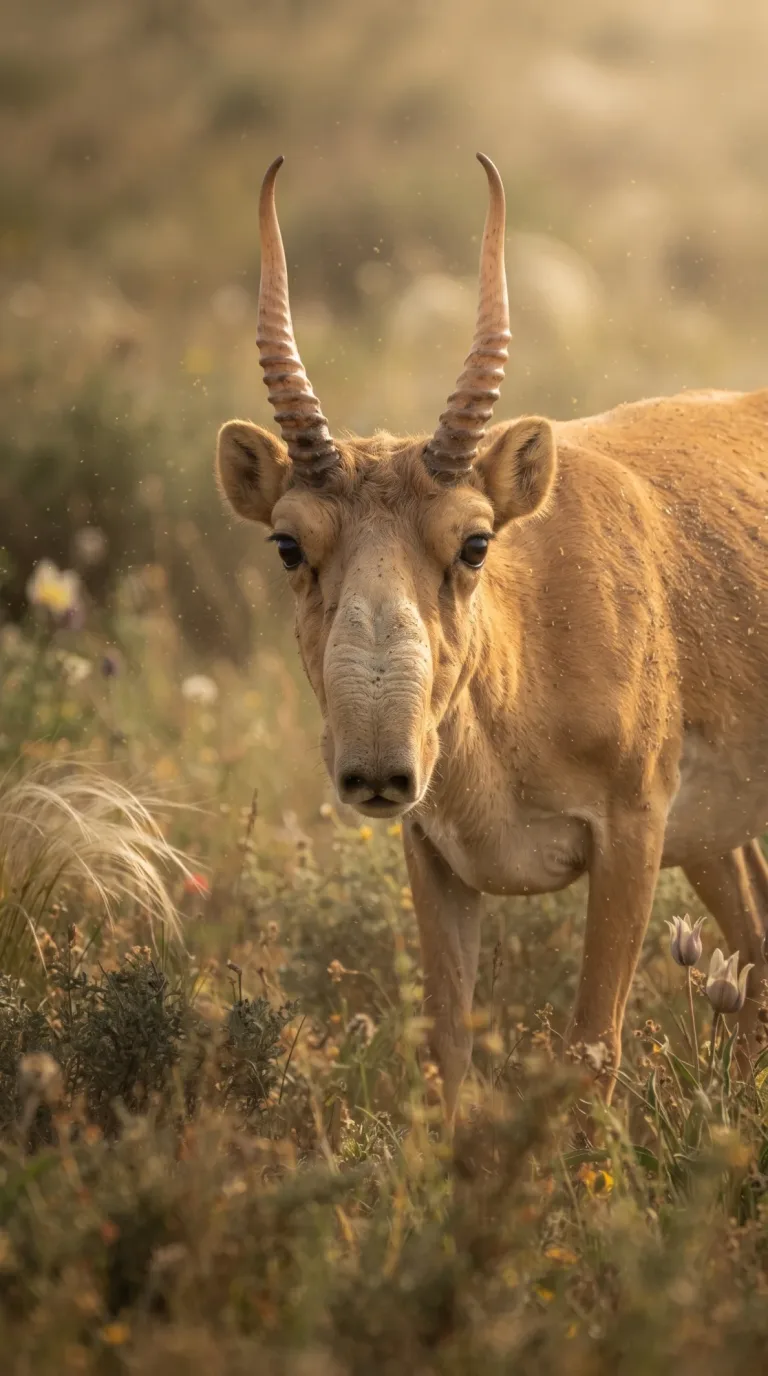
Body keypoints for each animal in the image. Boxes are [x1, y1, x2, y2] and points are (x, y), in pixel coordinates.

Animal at [216, 153, 768, 1120]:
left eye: (475, 541)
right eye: (288, 543)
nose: (379, 768)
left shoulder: (633, 834)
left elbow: (590, 1049)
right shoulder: (433, 854)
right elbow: (448, 1050)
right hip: (720, 838)